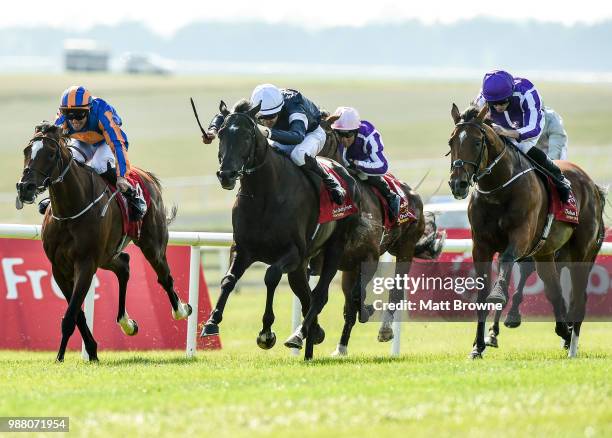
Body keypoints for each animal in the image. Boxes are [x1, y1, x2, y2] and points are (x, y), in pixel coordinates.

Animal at [16, 121, 191, 362]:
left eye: (50, 154)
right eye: (26, 151)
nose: (25, 187)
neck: (70, 211)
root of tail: (145, 175)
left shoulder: (85, 263)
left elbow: (71, 315)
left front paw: (60, 357)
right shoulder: (59, 268)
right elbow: (77, 314)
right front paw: (90, 351)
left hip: (151, 245)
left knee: (165, 277)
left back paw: (181, 310)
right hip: (107, 255)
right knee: (124, 265)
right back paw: (127, 323)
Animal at [196, 99, 358, 360]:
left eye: (247, 135)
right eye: (221, 133)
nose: (226, 175)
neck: (264, 195)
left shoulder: (292, 253)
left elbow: (270, 276)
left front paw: (266, 332)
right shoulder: (242, 248)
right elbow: (228, 279)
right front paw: (211, 322)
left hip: (334, 249)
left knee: (319, 295)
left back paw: (299, 335)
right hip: (302, 266)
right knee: (305, 295)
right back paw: (312, 337)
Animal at [448, 104, 604, 358]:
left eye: (477, 142)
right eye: (451, 141)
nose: (458, 184)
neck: (497, 189)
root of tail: (592, 184)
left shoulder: (520, 237)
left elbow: (507, 262)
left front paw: (498, 297)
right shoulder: (480, 245)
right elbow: (482, 293)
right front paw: (478, 346)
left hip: (582, 252)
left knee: (578, 295)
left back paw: (572, 344)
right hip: (546, 253)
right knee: (554, 290)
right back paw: (564, 331)